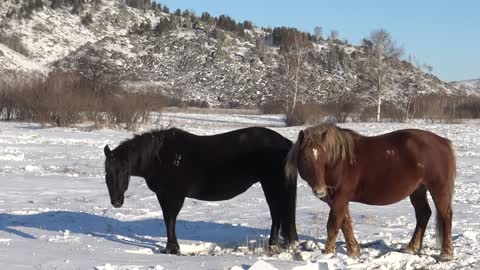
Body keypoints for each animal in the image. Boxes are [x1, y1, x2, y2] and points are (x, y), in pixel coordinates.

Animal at [104, 126, 298, 253]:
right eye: (107, 173)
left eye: (124, 171)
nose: (116, 202)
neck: (161, 158)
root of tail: (286, 143)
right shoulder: (164, 195)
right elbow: (169, 219)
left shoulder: (173, 196)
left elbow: (170, 219)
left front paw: (171, 248)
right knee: (277, 213)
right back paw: (273, 244)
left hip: (272, 184)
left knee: (277, 212)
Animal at [286, 123, 456, 260]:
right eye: (305, 159)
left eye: (323, 158)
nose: (320, 190)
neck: (340, 161)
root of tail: (443, 142)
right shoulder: (336, 200)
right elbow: (345, 223)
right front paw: (353, 251)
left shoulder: (340, 197)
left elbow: (333, 225)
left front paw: (327, 253)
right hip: (418, 190)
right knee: (423, 214)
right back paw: (411, 248)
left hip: (438, 188)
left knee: (445, 215)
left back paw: (446, 253)